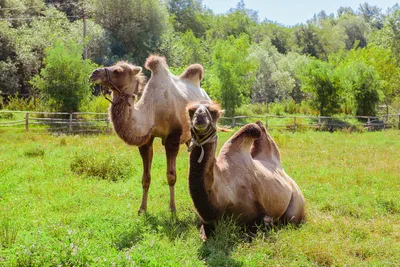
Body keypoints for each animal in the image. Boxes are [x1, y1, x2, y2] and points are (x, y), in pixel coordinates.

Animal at [89, 57, 211, 216]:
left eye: (117, 70)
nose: (94, 73)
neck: (152, 111)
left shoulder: (173, 138)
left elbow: (171, 176)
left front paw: (172, 209)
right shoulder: (146, 140)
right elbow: (146, 178)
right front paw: (142, 209)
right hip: (190, 137)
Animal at [186, 103, 304, 241]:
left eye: (214, 112)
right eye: (191, 111)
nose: (199, 117)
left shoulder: (262, 214)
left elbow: (259, 227)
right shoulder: (207, 222)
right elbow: (204, 233)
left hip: (296, 203)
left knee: (290, 219)